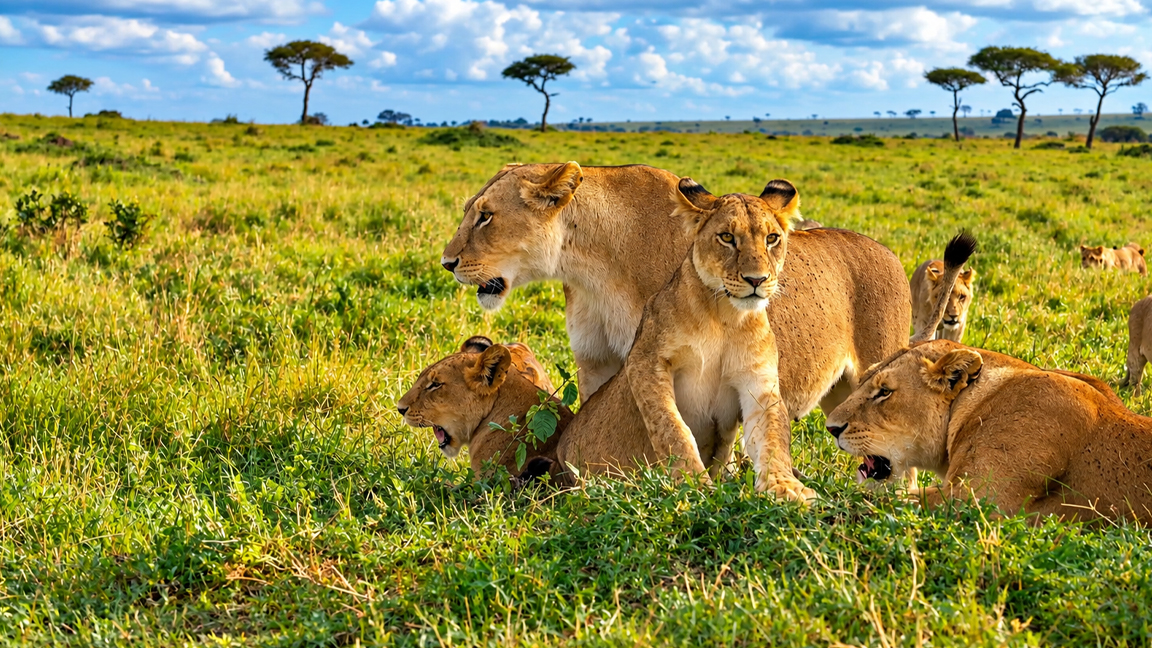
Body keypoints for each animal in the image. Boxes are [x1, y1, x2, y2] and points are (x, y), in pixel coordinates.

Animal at [441, 162, 918, 422]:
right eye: (469, 211)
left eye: (485, 216)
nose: (447, 262)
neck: (591, 270)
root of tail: (891, 254)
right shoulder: (596, 363)